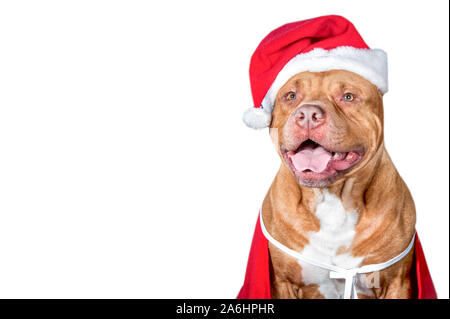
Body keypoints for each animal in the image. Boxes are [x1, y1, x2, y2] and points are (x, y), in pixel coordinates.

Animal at [239, 15, 436, 300]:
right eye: (291, 96)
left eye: (348, 96)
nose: (307, 114)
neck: (332, 199)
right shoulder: (282, 282)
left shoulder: (396, 282)